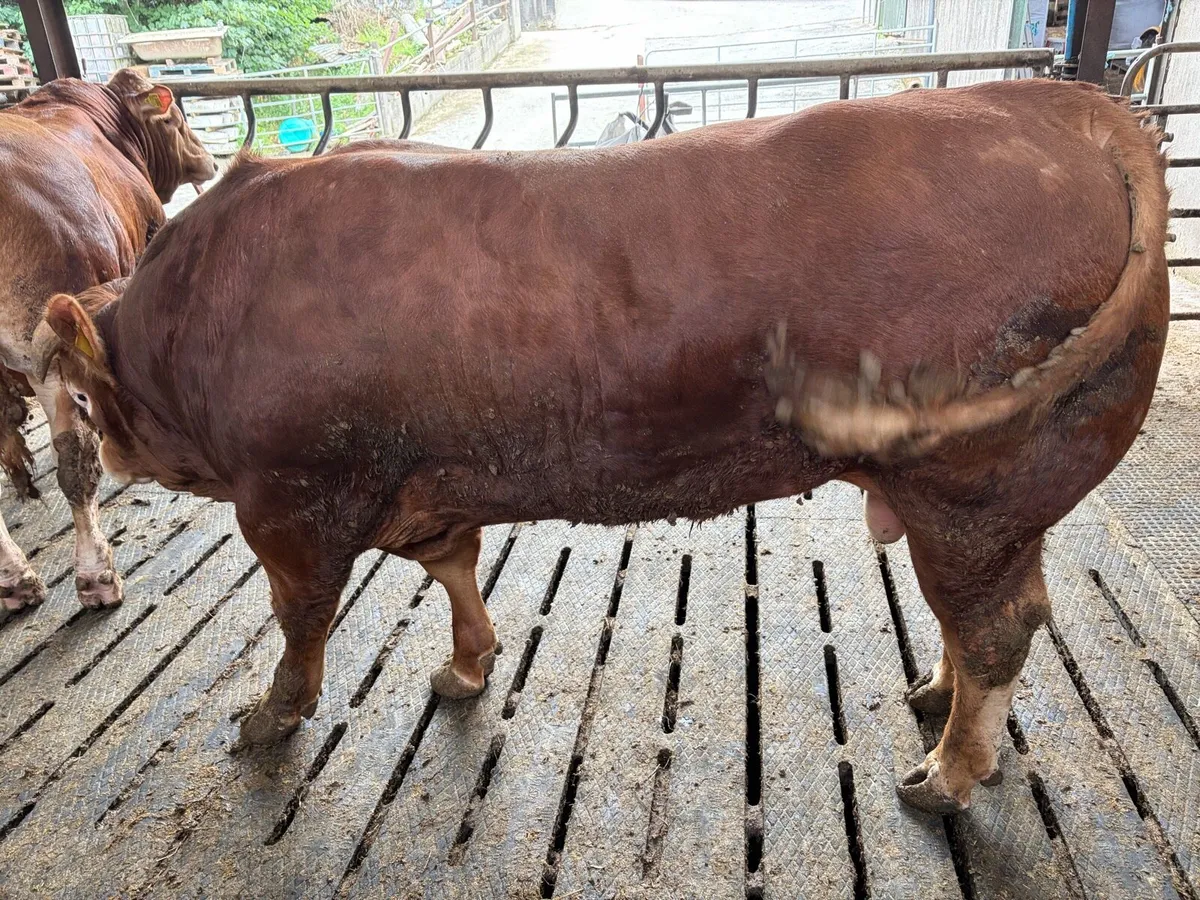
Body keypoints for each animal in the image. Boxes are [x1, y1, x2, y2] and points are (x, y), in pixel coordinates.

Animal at [33, 79, 1167, 816]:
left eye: (83, 399)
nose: (108, 456)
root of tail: (1057, 102)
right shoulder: (422, 482)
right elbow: (453, 565)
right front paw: (466, 666)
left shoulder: (292, 501)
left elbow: (300, 621)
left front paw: (271, 718)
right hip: (994, 500)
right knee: (983, 621)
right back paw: (936, 695)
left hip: (974, 487)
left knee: (998, 628)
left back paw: (948, 773)